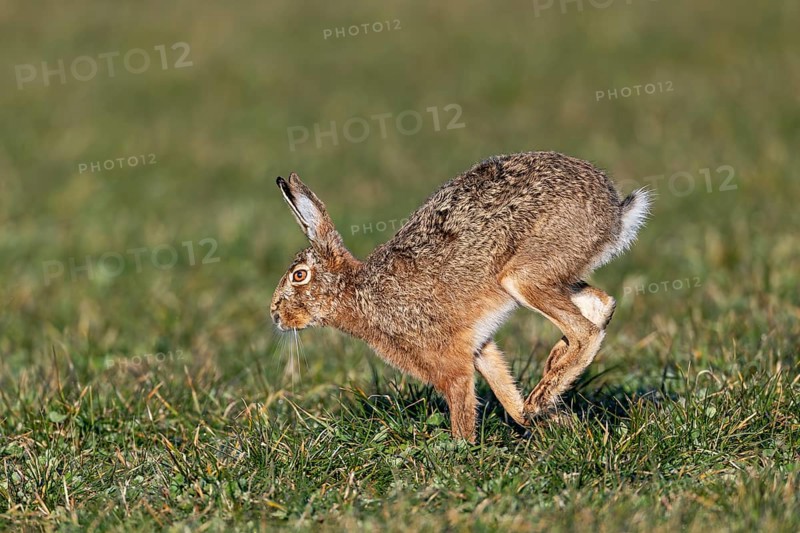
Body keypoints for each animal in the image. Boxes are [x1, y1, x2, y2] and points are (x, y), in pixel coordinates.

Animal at [270, 151, 651, 442]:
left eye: (299, 275)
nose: (275, 315)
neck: (358, 292)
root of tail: (615, 212)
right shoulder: (479, 348)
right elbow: (507, 397)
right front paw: (552, 423)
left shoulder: (449, 361)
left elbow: (462, 407)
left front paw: (462, 448)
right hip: (554, 275)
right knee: (601, 304)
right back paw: (548, 380)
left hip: (523, 276)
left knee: (585, 330)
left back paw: (542, 395)